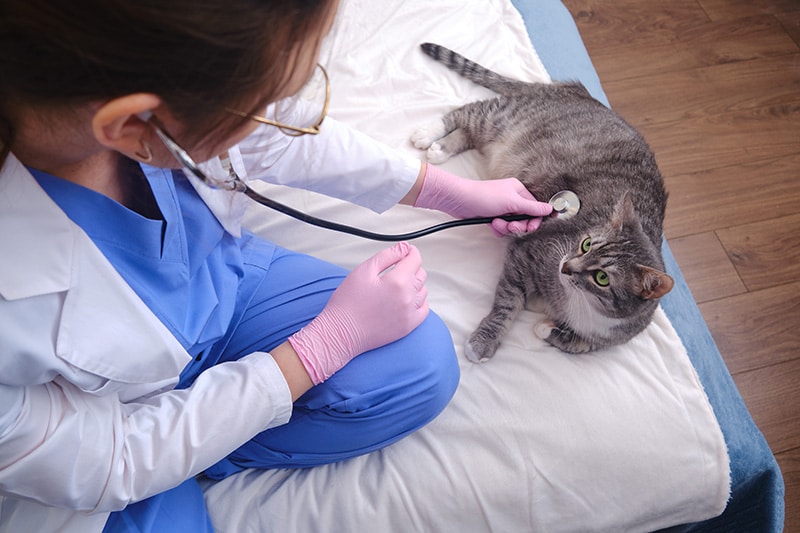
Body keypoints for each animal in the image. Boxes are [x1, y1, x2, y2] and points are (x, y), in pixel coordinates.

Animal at [412, 42, 676, 358]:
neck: (582, 306)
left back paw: (441, 148)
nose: (566, 267)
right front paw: (484, 341)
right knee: (468, 113)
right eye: (586, 244)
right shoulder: (527, 255)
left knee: (468, 132)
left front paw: (546, 328)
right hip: (504, 117)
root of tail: (577, 91)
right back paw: (428, 133)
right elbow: (507, 304)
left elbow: (576, 344)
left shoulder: (606, 340)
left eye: (602, 278)